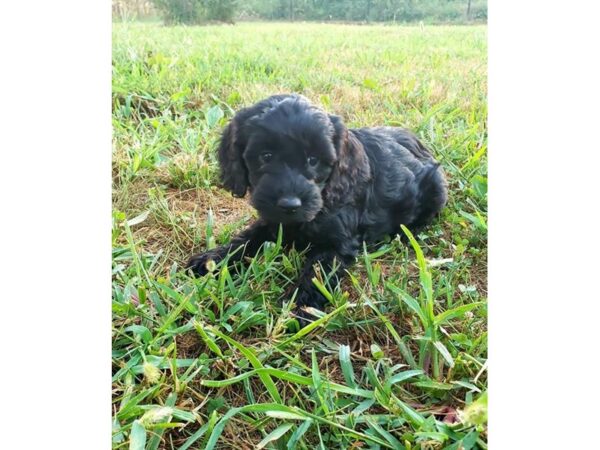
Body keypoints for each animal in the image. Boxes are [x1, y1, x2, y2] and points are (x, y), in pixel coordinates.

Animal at [188, 94, 446, 320]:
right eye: (266, 156)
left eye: (313, 160)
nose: (289, 204)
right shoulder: (271, 221)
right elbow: (246, 239)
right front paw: (212, 260)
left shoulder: (337, 243)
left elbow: (316, 273)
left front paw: (301, 307)